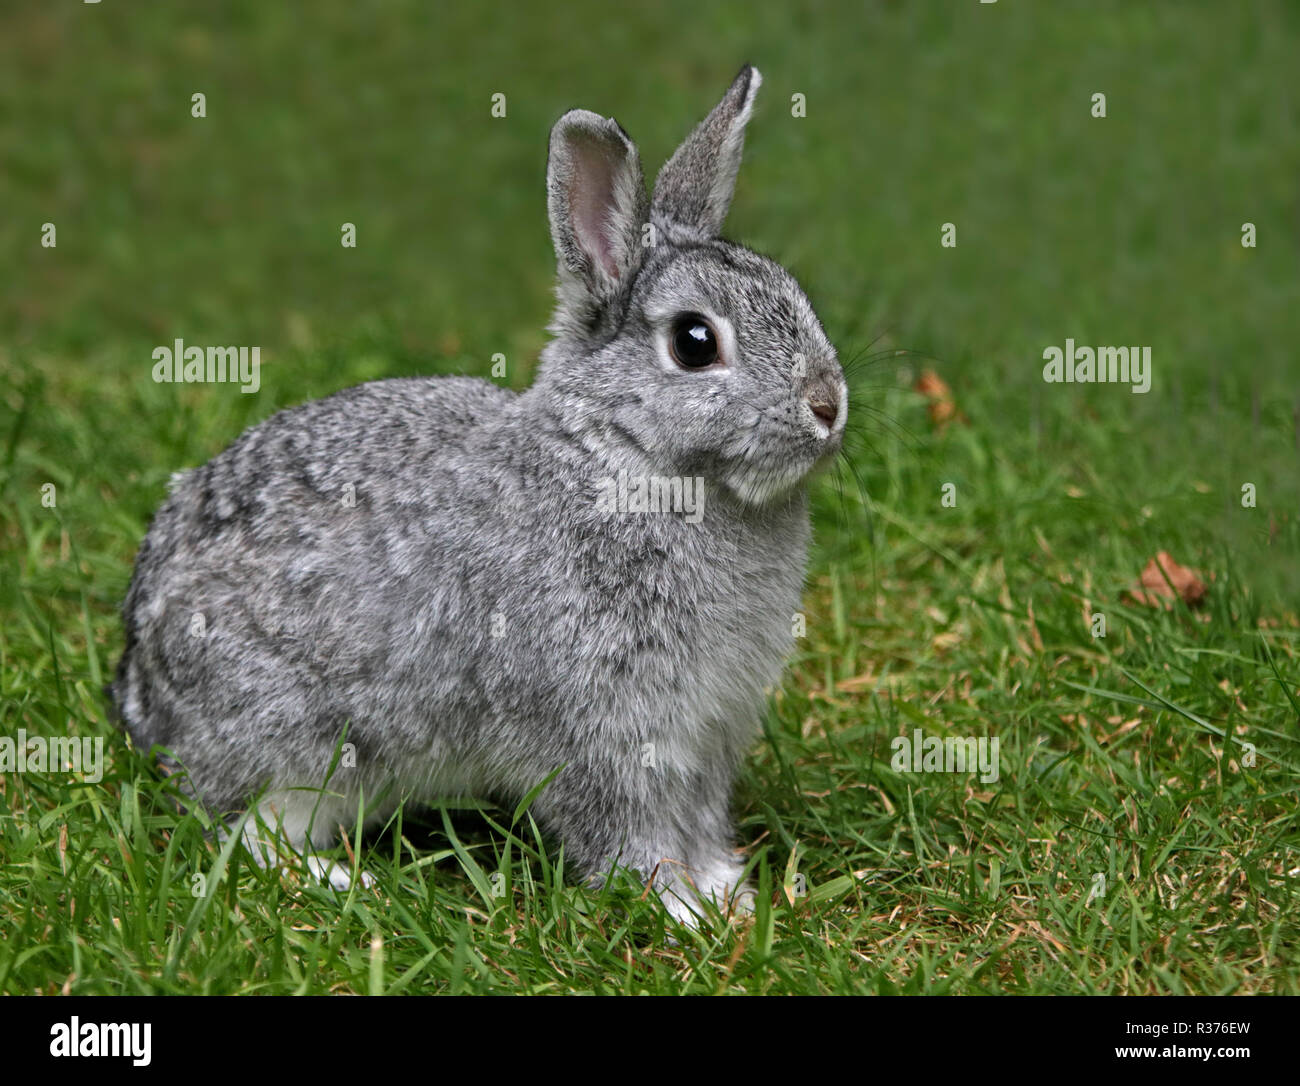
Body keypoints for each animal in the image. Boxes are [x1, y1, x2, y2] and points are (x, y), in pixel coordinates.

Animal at [109, 65, 842, 926]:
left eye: (793, 294)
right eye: (695, 343)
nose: (829, 405)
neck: (629, 460)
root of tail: (142, 691)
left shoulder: (706, 736)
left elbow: (693, 818)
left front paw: (725, 888)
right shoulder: (598, 728)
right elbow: (623, 826)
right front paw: (678, 905)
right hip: (299, 740)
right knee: (251, 833)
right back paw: (344, 881)